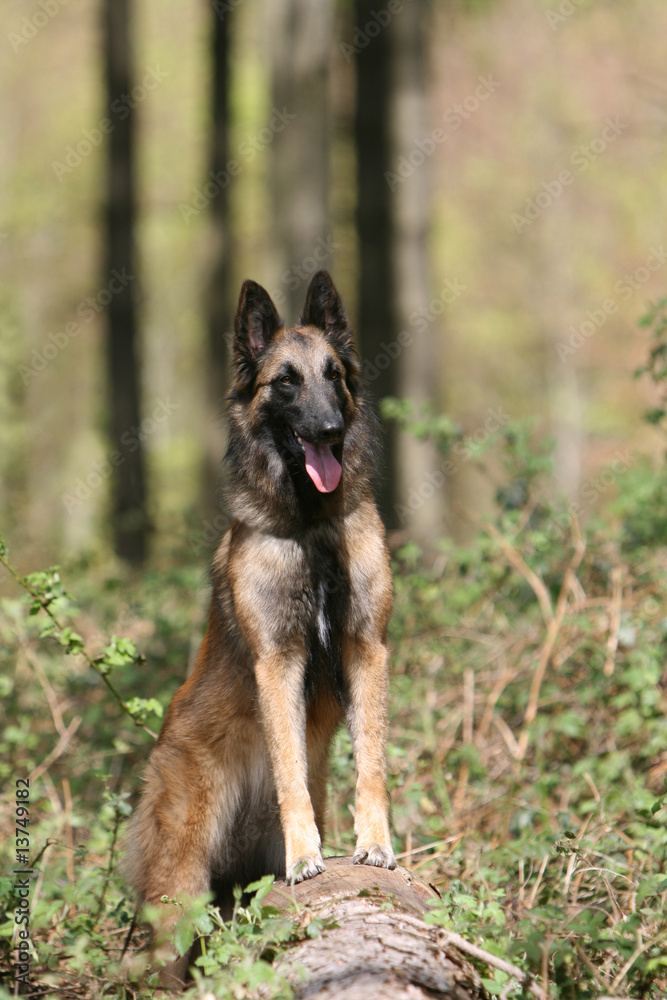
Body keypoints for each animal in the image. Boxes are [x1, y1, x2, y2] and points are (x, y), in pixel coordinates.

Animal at [128, 270, 394, 988]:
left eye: (333, 375)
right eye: (285, 383)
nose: (329, 429)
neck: (310, 525)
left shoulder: (365, 650)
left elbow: (372, 763)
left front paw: (375, 843)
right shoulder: (277, 661)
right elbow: (287, 764)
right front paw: (305, 855)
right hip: (180, 891)